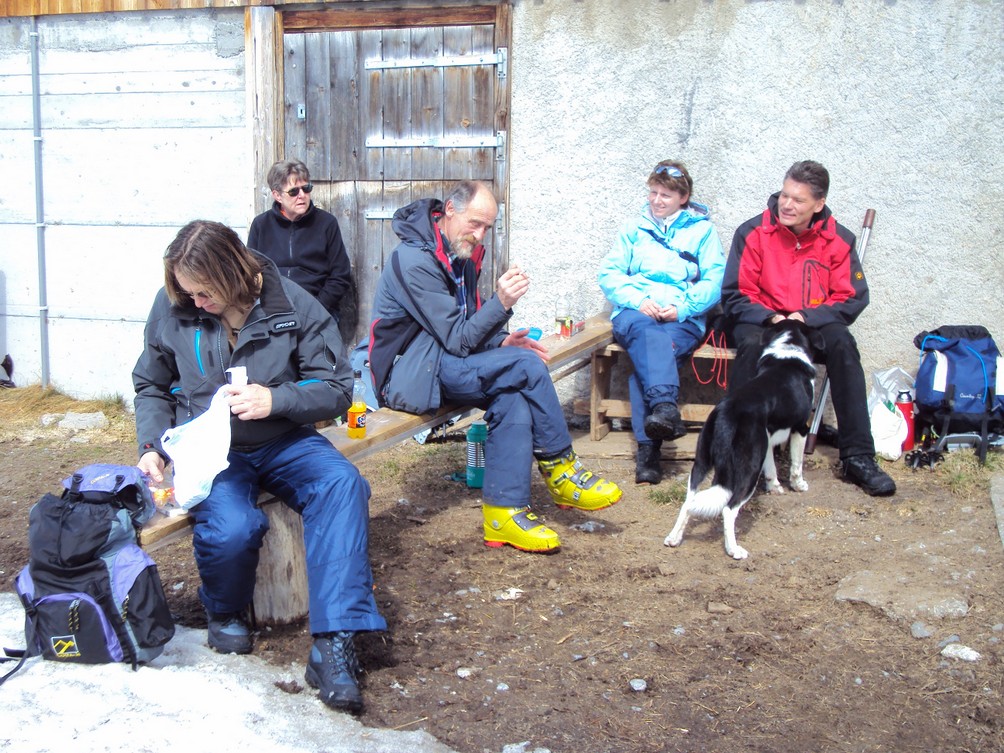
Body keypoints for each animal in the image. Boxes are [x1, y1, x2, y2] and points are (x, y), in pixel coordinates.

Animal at [664, 319, 824, 560]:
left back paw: (674, 538)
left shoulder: (767, 440)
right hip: (749, 469)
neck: (788, 349)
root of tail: (726, 412)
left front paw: (774, 487)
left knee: (688, 501)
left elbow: (771, 468)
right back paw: (734, 550)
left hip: (701, 462)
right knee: (729, 509)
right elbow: (796, 465)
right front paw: (798, 485)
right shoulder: (801, 428)